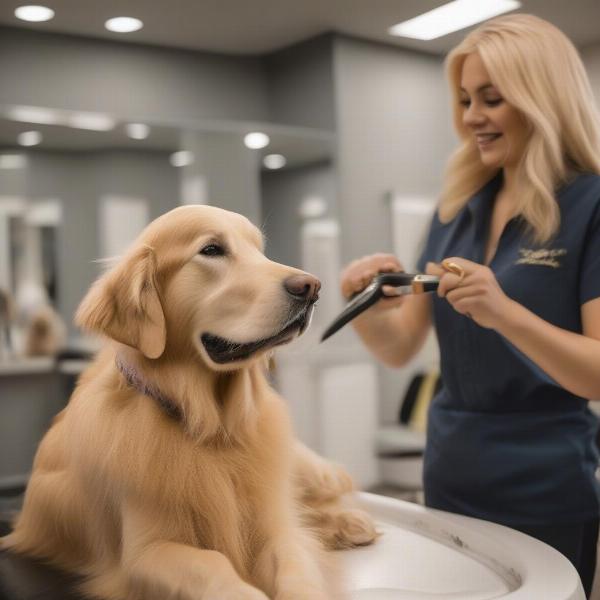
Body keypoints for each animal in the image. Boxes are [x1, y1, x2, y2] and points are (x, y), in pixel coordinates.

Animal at [0, 206, 376, 600]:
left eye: (260, 251)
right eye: (211, 250)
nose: (311, 287)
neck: (211, 427)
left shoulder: (275, 530)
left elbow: (294, 559)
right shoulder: (146, 552)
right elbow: (212, 564)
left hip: (306, 472)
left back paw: (347, 521)